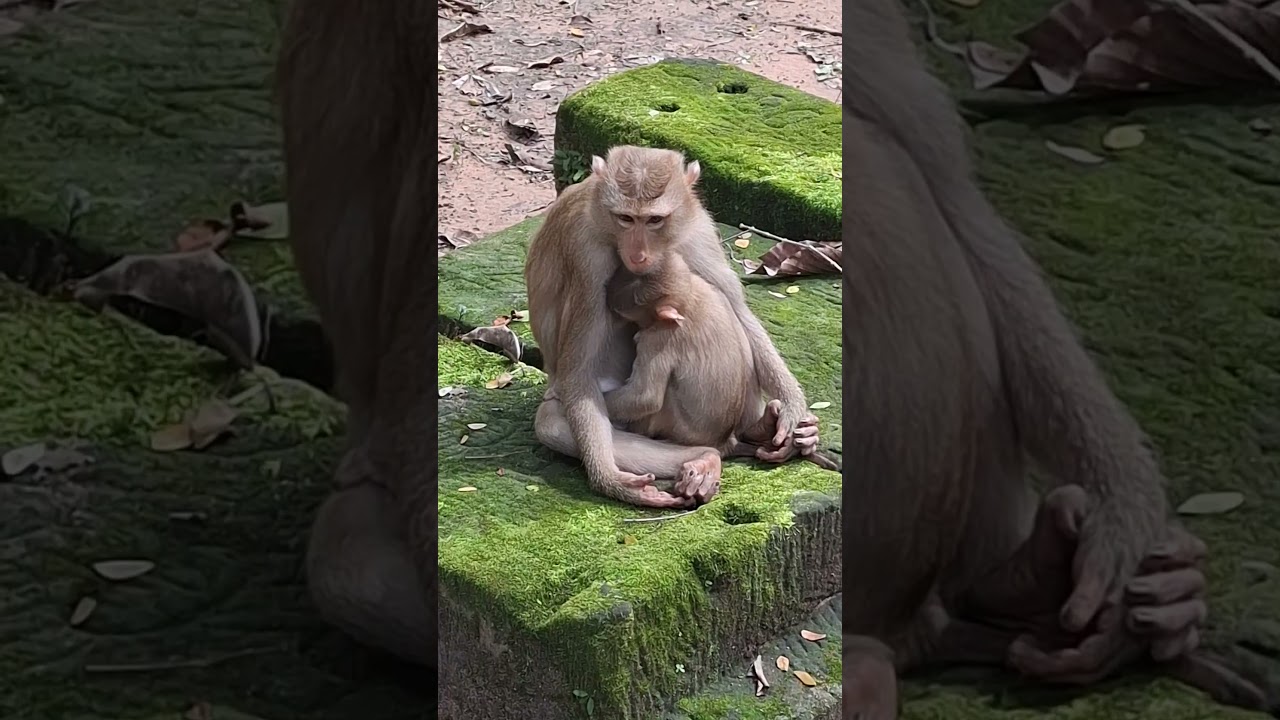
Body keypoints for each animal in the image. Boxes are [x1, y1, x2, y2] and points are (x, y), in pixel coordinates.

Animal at [524, 145, 823, 509]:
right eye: (626, 218)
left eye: (655, 220)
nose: (638, 254)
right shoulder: (587, 254)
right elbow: (579, 372)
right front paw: (610, 480)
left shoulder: (696, 228)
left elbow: (737, 309)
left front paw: (795, 413)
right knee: (552, 420)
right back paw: (705, 456)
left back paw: (758, 429)